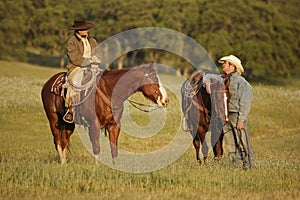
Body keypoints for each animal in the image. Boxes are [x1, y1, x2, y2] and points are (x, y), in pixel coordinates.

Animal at [41, 63, 169, 164]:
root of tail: (48, 83)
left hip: (68, 124)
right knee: (58, 141)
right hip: (53, 119)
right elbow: (96, 148)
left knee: (64, 141)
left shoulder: (114, 126)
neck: (108, 92)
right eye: (155, 80)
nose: (166, 100)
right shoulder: (94, 125)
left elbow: (114, 150)